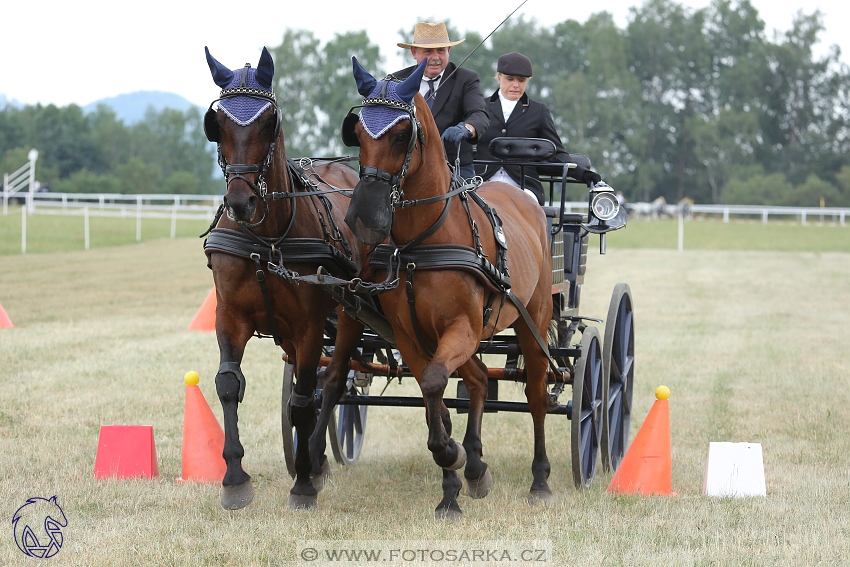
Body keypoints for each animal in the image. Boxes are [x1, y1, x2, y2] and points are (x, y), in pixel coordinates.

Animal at [204, 47, 366, 510]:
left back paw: (313, 456)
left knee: (332, 383)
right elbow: (229, 385)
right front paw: (235, 479)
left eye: (268, 121)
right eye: (217, 123)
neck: (267, 236)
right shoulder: (230, 315)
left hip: (348, 317)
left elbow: (303, 401)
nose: (240, 201)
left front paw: (304, 484)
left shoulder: (310, 325)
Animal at [312, 57, 556, 520]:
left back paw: (540, 481)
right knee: (477, 379)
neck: (422, 242)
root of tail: (524, 200)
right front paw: (452, 484)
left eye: (402, 134)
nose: (363, 216)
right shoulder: (410, 336)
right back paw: (476, 466)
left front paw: (452, 458)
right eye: (357, 132)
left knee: (536, 394)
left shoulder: (461, 327)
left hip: (533, 320)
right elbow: (432, 394)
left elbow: (434, 385)